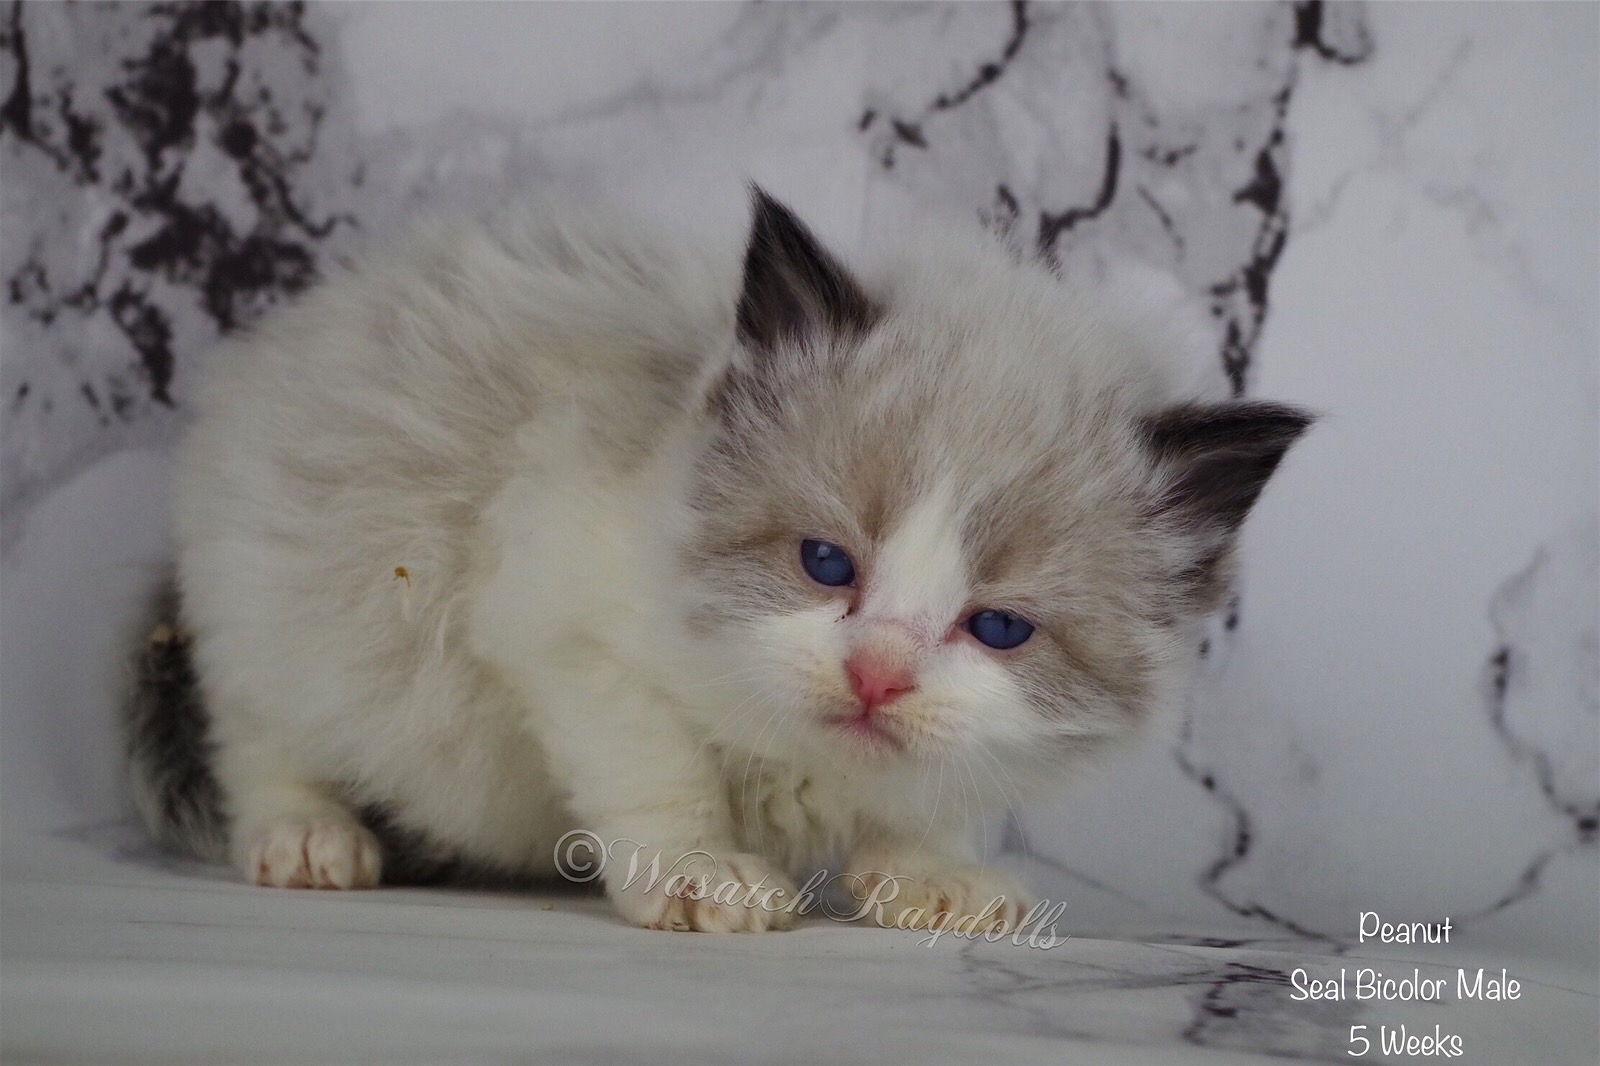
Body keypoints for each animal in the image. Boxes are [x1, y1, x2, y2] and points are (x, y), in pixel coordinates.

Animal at [125, 186, 1311, 932]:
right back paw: (308, 839)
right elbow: (662, 774)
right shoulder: (566, 625)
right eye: (825, 564)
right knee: (260, 739)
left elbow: (930, 797)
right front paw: (703, 879)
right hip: (281, 607)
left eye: (1000, 627)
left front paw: (932, 878)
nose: (877, 675)